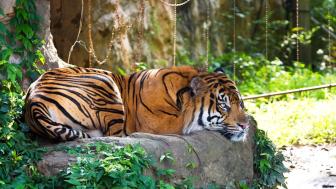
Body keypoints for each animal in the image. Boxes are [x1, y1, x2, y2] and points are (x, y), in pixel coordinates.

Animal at [24, 65, 249, 141]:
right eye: (223, 105)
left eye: (241, 103)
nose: (245, 126)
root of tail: (32, 101)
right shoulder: (163, 125)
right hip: (105, 84)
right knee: (114, 136)